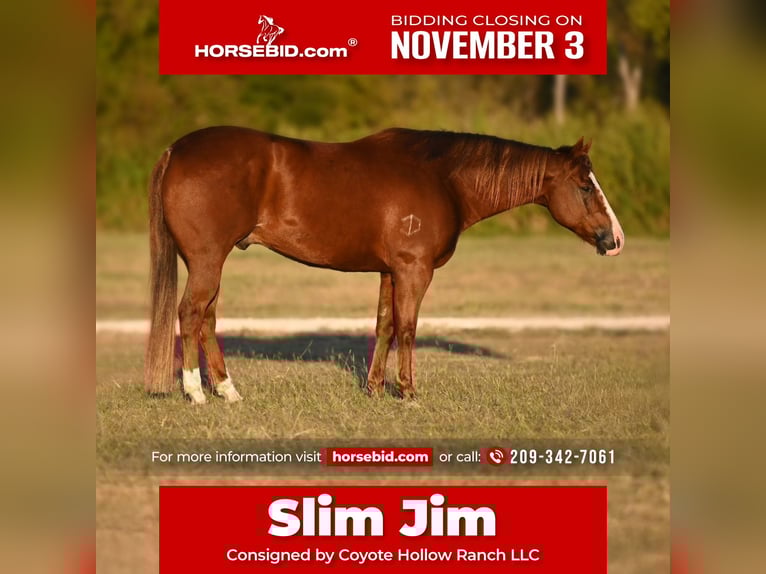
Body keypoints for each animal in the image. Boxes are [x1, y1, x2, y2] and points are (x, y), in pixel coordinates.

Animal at [144, 127, 624, 404]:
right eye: (585, 186)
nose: (615, 240)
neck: (441, 178)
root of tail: (176, 149)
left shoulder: (391, 271)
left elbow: (385, 326)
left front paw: (375, 389)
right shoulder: (414, 270)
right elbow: (408, 328)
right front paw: (408, 391)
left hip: (209, 262)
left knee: (206, 319)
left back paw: (228, 391)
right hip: (208, 260)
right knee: (191, 314)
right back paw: (196, 393)